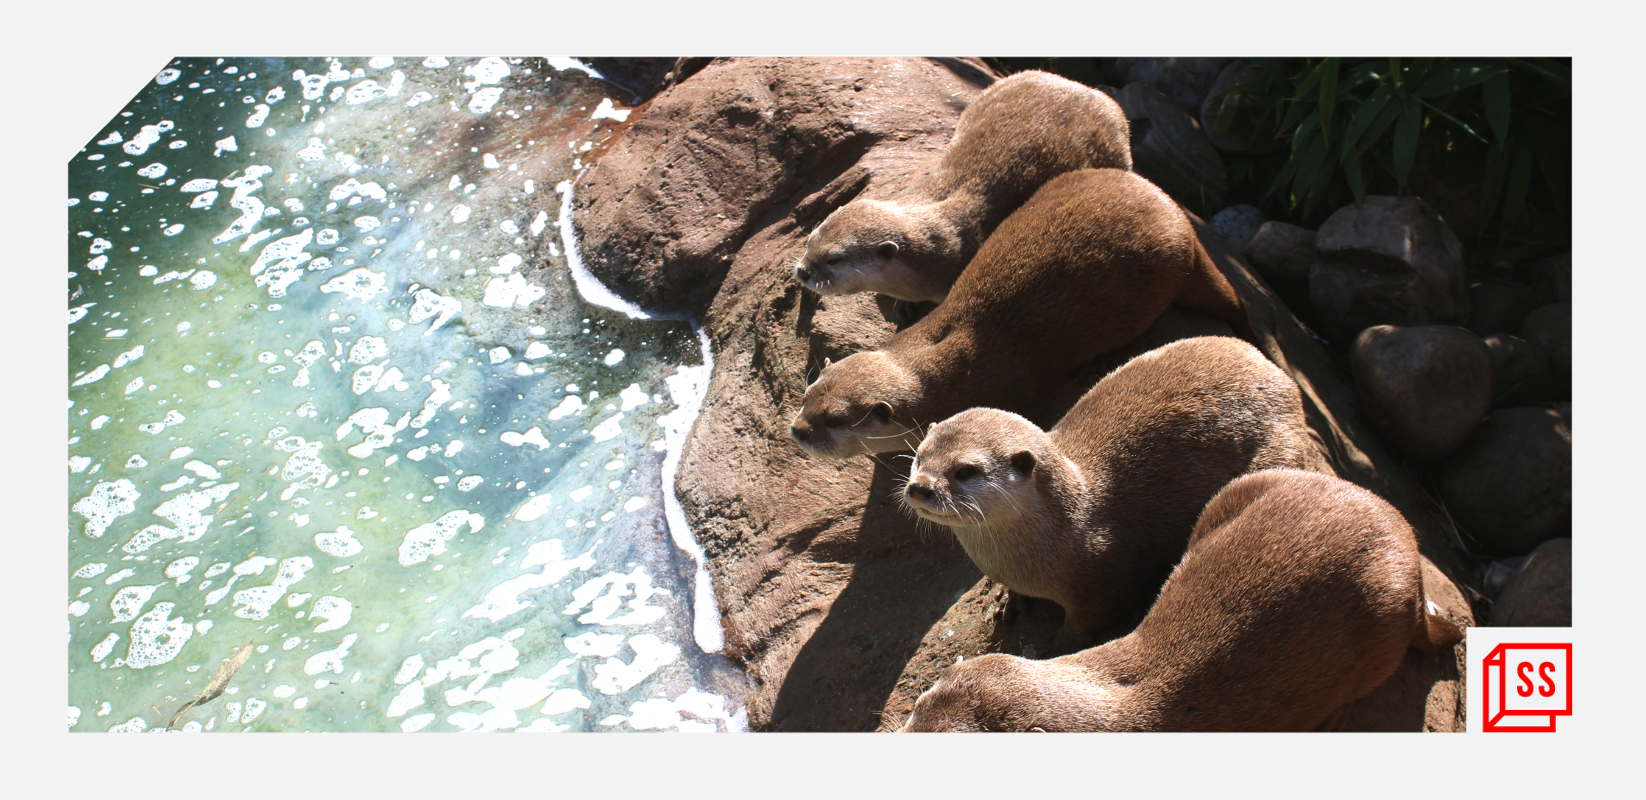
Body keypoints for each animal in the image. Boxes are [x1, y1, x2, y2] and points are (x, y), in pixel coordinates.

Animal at [901, 336, 1310, 651]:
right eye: (919, 456)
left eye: (964, 471)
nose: (919, 487)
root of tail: (1283, 379)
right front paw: (1010, 600)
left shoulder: (1102, 582)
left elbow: (1085, 625)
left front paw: (1054, 649)